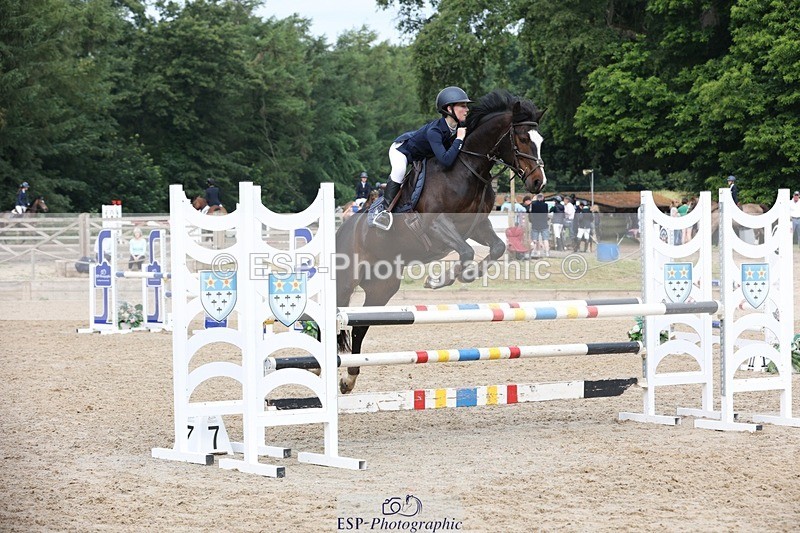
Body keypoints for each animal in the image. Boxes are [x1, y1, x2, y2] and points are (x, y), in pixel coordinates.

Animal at [335, 90, 547, 393]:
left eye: (540, 141)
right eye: (521, 139)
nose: (538, 183)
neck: (468, 167)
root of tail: (344, 227)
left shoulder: (477, 225)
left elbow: (495, 247)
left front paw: (469, 275)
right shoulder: (436, 225)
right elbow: (466, 251)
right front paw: (439, 280)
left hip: (381, 288)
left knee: (359, 327)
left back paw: (348, 378)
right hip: (346, 281)